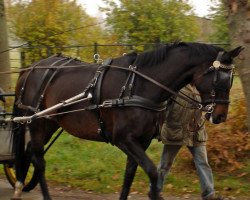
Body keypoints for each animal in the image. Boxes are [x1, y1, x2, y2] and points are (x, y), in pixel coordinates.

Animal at [11, 41, 242, 199]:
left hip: (49, 122)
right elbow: (152, 172)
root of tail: (30, 68)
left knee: (30, 151)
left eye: (231, 78)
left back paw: (21, 184)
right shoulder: (124, 139)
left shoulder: (141, 141)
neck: (139, 84)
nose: (220, 115)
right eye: (221, 80)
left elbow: (129, 175)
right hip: (36, 122)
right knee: (39, 160)